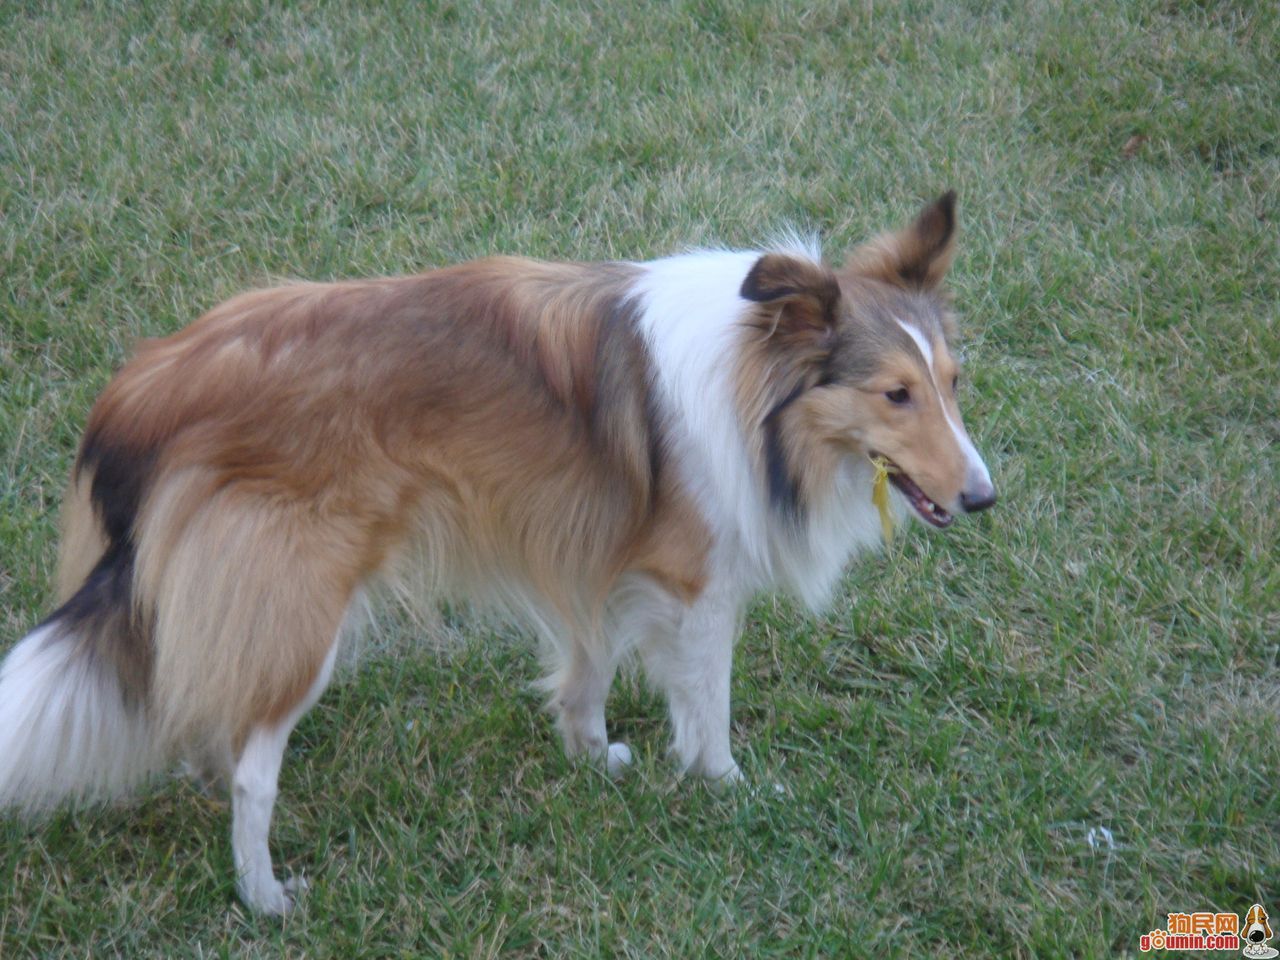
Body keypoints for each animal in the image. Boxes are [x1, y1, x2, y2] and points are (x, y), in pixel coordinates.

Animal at [0, 193, 995, 914]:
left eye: (952, 383)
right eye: (895, 394)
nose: (984, 497)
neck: (752, 384)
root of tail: (141, 393)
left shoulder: (596, 553)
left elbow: (589, 666)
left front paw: (593, 756)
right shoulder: (696, 583)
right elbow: (707, 704)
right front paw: (731, 789)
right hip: (300, 604)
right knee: (253, 771)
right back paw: (266, 897)